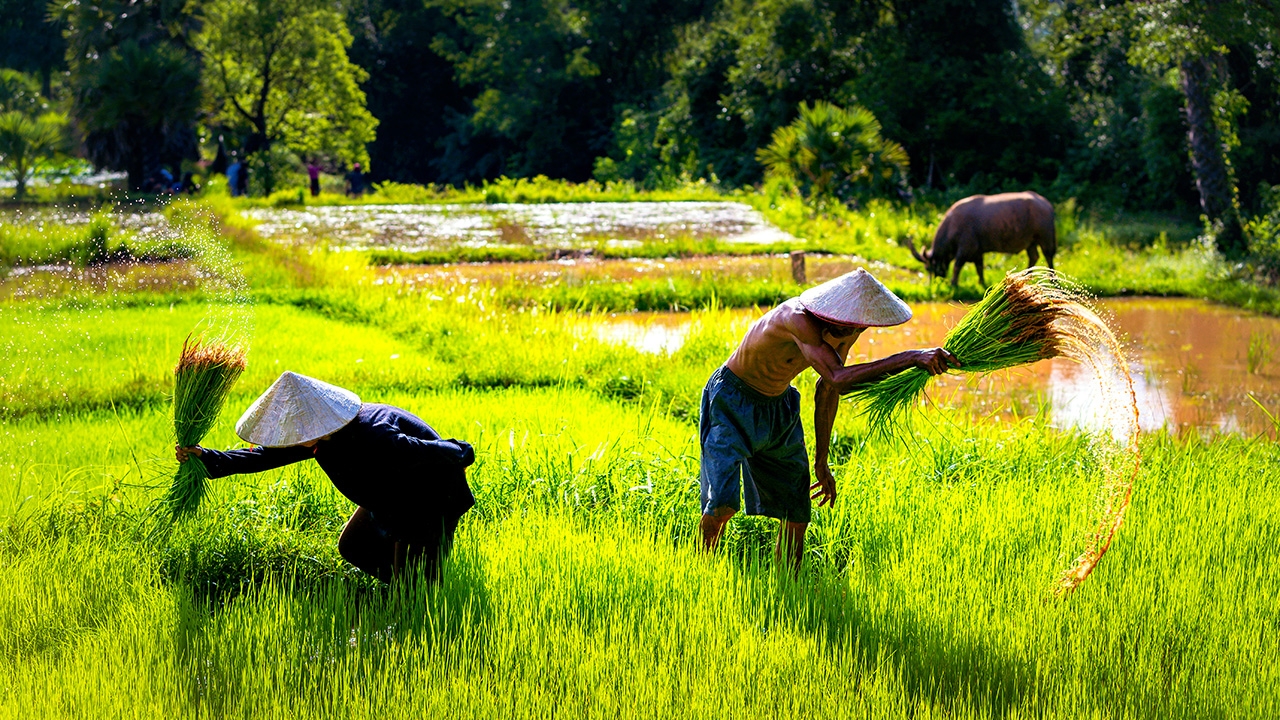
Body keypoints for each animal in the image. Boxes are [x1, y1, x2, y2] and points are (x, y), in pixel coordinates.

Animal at [911, 190, 1059, 285]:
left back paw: (1053, 279)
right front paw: (981, 282)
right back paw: (1026, 275)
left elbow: (957, 266)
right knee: (1034, 256)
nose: (935, 283)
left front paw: (953, 283)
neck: (952, 225)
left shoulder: (966, 248)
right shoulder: (977, 251)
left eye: (929, 268)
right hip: (1030, 242)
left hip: (1045, 238)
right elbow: (979, 268)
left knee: (1048, 256)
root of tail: (1047, 204)